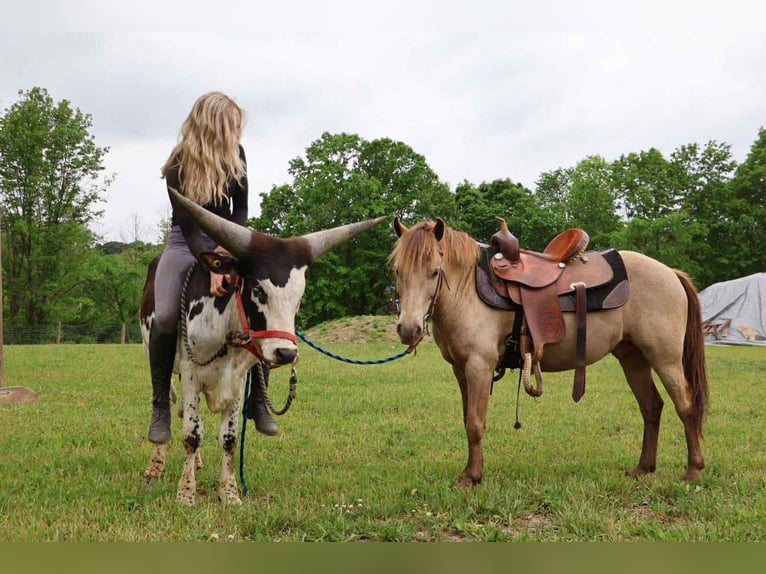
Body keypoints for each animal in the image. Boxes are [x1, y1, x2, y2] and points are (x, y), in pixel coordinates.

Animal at [390, 217, 708, 486]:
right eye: (397, 271)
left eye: (435, 271)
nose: (408, 329)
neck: (468, 289)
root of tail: (671, 273)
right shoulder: (460, 369)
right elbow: (467, 418)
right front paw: (470, 471)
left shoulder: (479, 366)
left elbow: (475, 423)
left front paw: (472, 477)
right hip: (634, 358)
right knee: (651, 407)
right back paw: (643, 468)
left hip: (665, 359)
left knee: (685, 405)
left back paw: (693, 470)